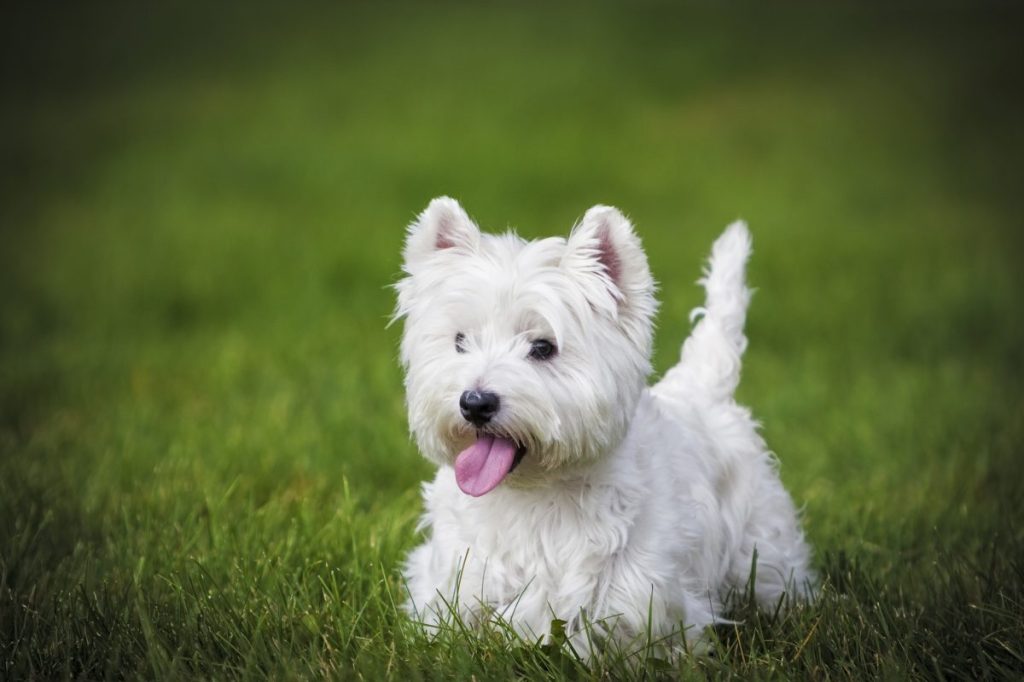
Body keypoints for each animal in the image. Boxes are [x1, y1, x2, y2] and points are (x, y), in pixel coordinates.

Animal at [395, 195, 811, 647]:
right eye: (460, 341)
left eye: (543, 347)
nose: (475, 403)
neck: (533, 496)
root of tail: (703, 387)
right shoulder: (457, 580)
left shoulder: (642, 598)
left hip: (761, 541)